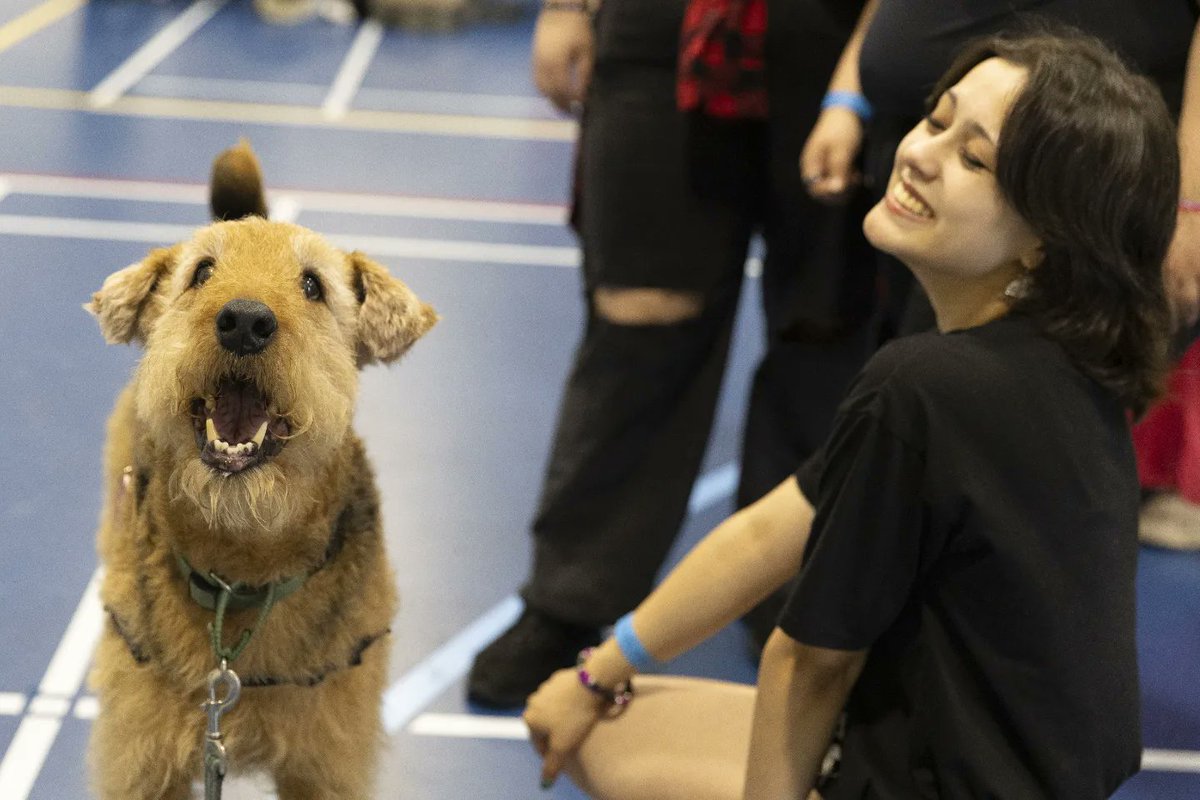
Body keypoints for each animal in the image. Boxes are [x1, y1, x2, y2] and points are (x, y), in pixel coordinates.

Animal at [87, 140, 436, 796]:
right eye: (202, 272)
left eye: (313, 284)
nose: (245, 321)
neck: (240, 566)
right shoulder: (143, 758)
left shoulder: (326, 762)